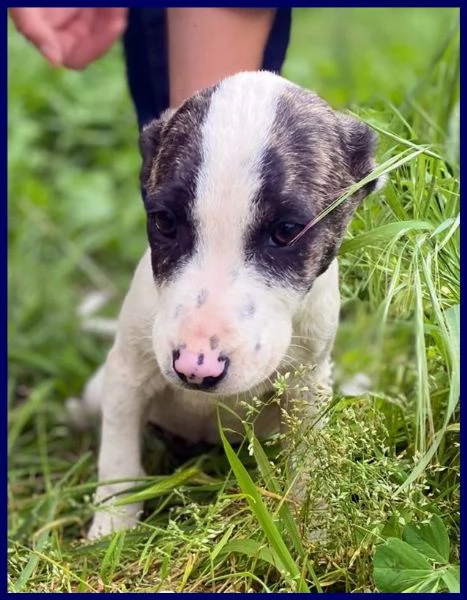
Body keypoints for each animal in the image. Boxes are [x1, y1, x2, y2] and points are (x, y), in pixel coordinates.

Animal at [69, 70, 384, 540]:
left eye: (287, 231)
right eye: (164, 222)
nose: (195, 368)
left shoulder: (306, 385)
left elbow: (309, 460)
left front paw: (313, 530)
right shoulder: (127, 372)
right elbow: (119, 457)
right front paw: (111, 530)